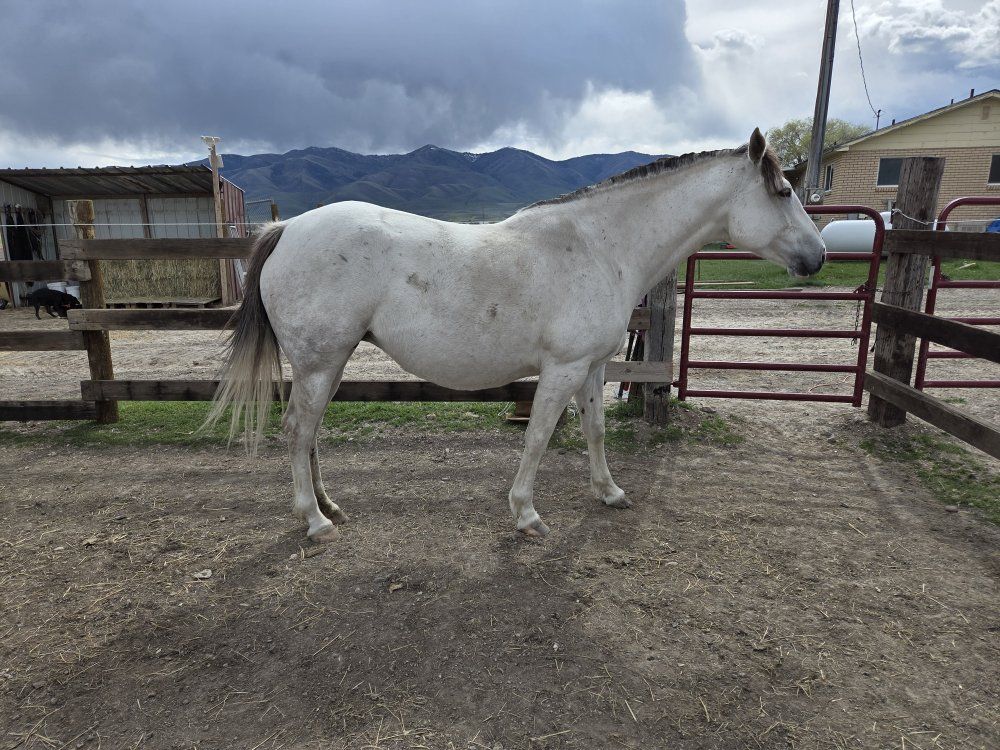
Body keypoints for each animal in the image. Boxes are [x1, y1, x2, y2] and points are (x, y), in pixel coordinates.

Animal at [205, 128, 825, 543]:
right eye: (781, 192)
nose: (818, 257)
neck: (600, 245)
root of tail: (287, 229)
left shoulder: (593, 367)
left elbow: (596, 431)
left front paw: (609, 492)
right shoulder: (563, 368)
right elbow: (538, 438)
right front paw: (526, 514)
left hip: (328, 365)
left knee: (309, 433)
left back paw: (329, 507)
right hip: (319, 362)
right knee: (297, 430)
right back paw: (313, 521)